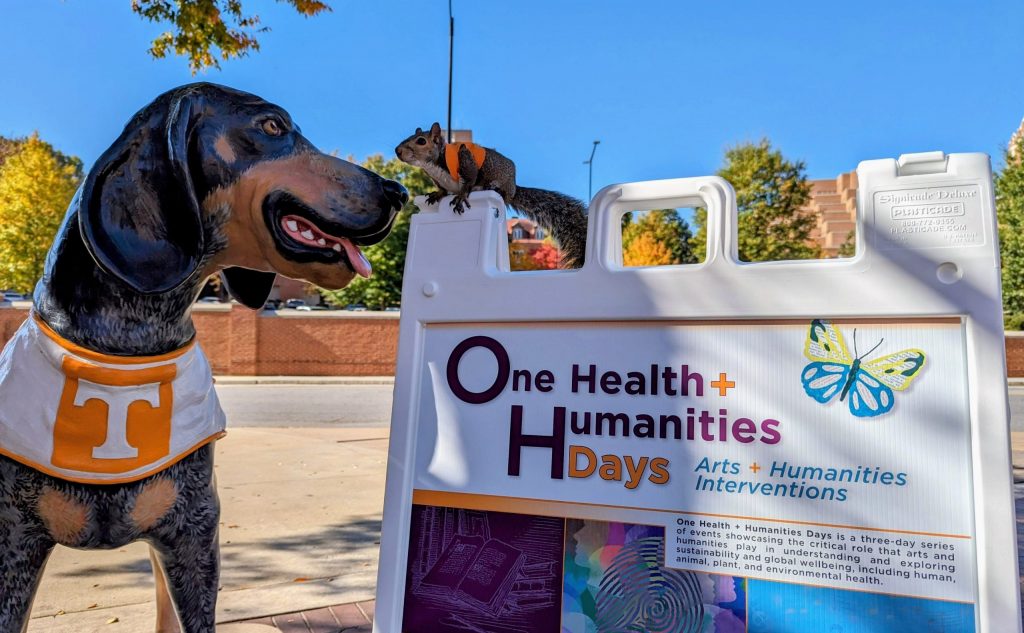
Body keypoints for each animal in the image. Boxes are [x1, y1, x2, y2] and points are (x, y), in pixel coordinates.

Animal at [391, 121, 585, 266]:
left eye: (421, 141)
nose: (397, 150)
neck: (433, 166)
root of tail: (514, 188)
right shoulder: (437, 179)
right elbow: (442, 189)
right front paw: (437, 194)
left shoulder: (466, 161)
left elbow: (469, 181)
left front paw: (461, 196)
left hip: (502, 184)